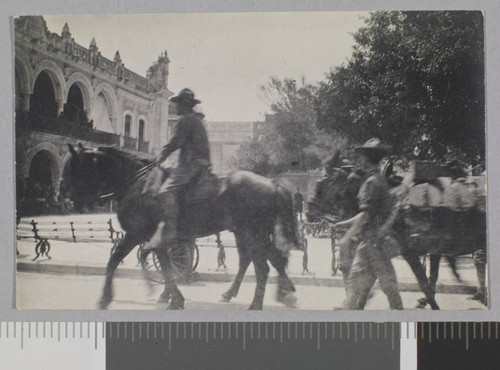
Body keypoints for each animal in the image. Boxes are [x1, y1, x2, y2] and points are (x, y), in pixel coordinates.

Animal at [66, 145, 300, 310]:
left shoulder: (135, 235)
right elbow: (164, 263)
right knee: (261, 260)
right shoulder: (154, 238)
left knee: (263, 266)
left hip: (252, 233)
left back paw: (258, 303)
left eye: (76, 168)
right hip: (247, 233)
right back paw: (274, 293)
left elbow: (115, 261)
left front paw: (106, 298)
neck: (138, 185)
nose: (67, 199)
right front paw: (171, 296)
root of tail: (272, 184)